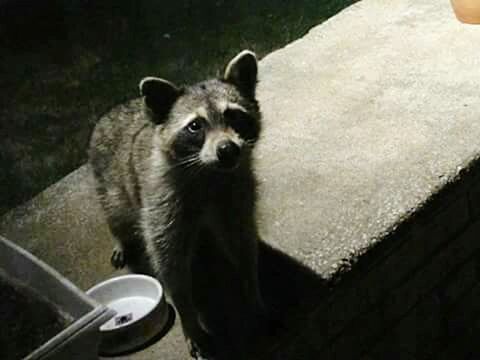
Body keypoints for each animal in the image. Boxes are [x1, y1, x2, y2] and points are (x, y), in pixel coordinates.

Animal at [89, 50, 266, 358]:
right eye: (195, 126)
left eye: (234, 115)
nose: (227, 149)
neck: (209, 173)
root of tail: (115, 109)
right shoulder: (163, 203)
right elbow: (171, 266)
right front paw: (190, 319)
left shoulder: (236, 193)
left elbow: (242, 242)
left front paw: (251, 288)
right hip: (110, 184)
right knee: (117, 215)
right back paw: (120, 237)